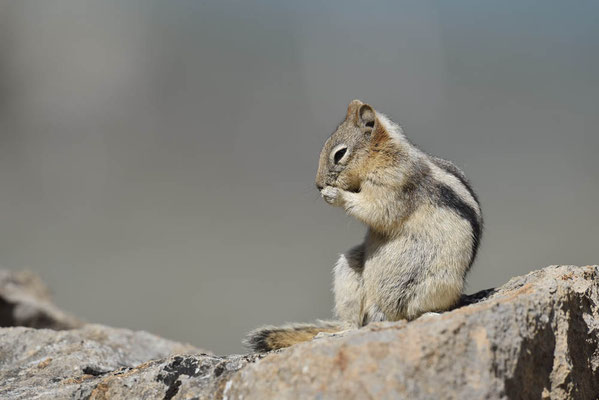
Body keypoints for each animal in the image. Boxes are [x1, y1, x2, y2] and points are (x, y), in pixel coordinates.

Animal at [244, 100, 482, 354]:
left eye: (339, 153)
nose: (318, 185)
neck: (384, 153)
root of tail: (380, 314)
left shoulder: (396, 182)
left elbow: (377, 209)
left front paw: (335, 195)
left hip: (434, 284)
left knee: (413, 313)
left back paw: (428, 315)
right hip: (348, 273)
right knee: (355, 323)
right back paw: (335, 333)